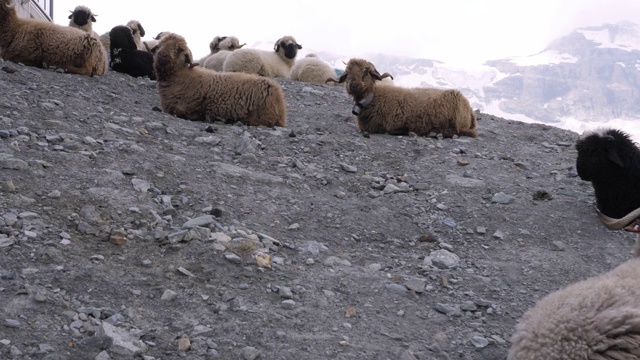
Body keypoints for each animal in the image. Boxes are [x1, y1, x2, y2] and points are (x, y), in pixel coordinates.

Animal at [152, 32, 284, 128]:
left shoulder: (185, 108)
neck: (181, 76)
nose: (162, 55)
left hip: (262, 117)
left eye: (179, 49)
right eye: (160, 44)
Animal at [328, 58, 478, 139]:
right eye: (347, 73)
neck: (373, 98)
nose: (354, 85)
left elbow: (392, 129)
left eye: (366, 72)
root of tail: (470, 109)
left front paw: (406, 131)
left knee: (462, 132)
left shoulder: (393, 123)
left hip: (458, 119)